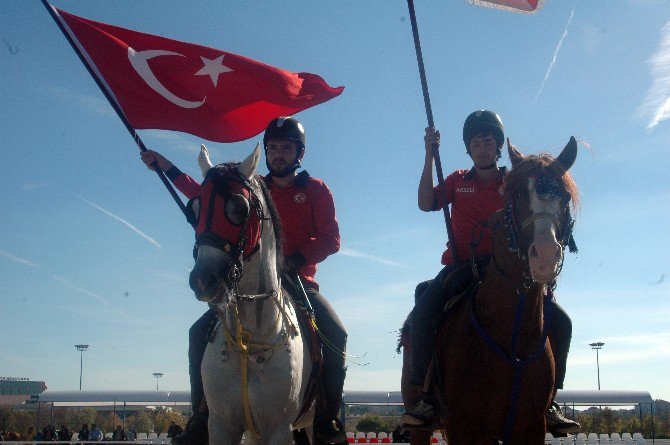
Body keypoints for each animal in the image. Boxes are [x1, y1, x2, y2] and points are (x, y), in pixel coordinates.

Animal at [189, 144, 316, 442]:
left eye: (238, 207)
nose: (203, 281)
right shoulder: (222, 425)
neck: (248, 342)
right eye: (195, 209)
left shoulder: (279, 430)